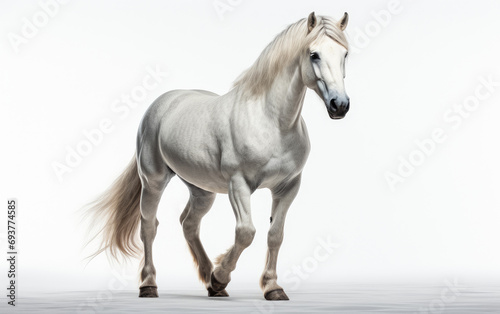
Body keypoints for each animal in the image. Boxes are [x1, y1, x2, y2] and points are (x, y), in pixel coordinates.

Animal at [88, 12, 350, 300]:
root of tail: (162, 103)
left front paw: (271, 287)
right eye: (314, 54)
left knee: (189, 224)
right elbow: (246, 233)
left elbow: (275, 235)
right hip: (153, 181)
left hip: (202, 190)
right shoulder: (239, 184)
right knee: (148, 225)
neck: (271, 122)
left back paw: (210, 281)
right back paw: (150, 284)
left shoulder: (288, 187)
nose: (340, 105)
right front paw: (221, 275)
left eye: (344, 54)